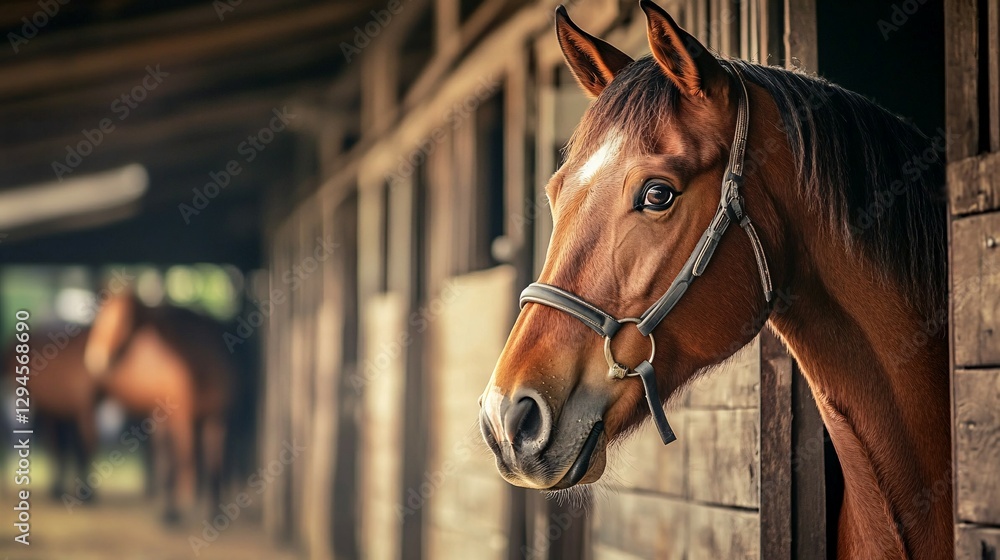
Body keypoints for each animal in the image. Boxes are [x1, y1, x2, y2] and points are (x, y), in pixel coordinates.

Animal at [84, 292, 234, 523]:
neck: (200, 361)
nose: (95, 358)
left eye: (123, 319)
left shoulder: (217, 420)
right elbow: (182, 461)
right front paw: (177, 512)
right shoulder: (181, 419)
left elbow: (212, 466)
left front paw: (213, 513)